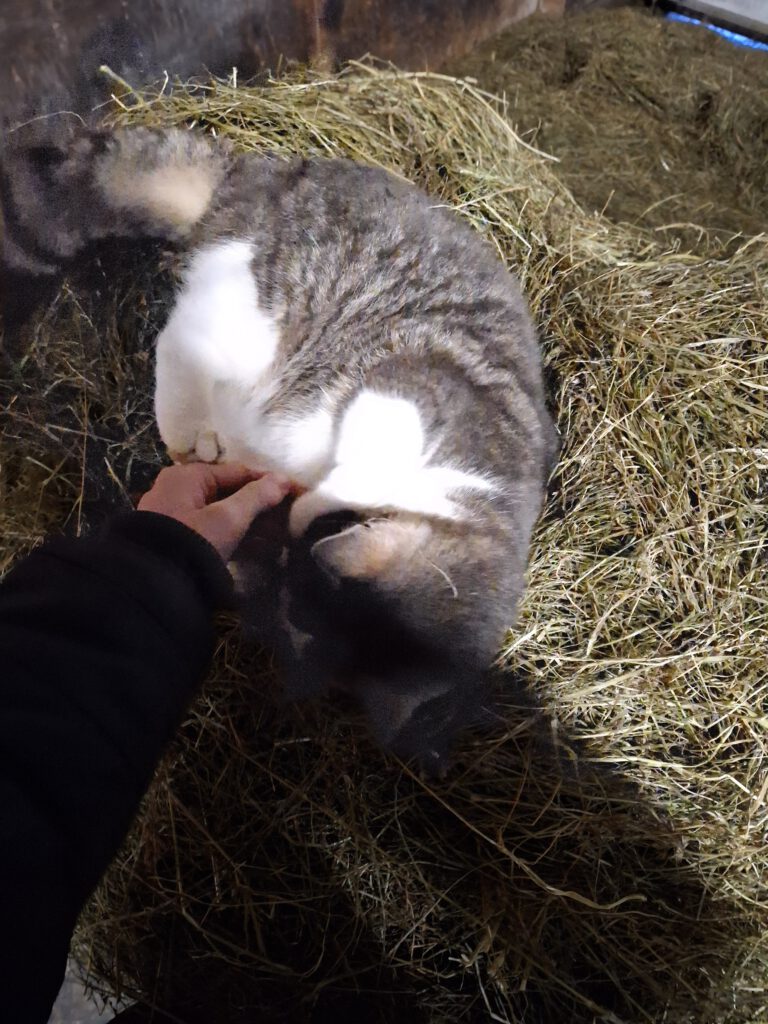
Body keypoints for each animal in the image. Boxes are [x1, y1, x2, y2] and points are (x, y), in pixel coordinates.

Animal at [3, 127, 558, 767]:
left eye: (292, 603)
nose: (295, 543)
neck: (481, 494)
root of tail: (265, 171)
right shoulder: (410, 392)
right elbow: (356, 460)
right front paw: (311, 501)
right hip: (257, 295)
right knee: (183, 338)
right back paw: (191, 424)